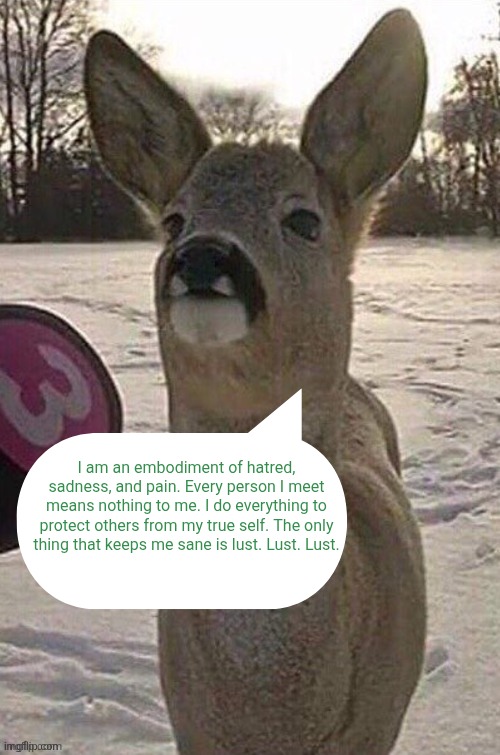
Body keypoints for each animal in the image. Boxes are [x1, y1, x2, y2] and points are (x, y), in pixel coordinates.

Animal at [84, 8, 427, 754]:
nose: (202, 255)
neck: (271, 717)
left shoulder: (380, 723)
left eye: (303, 219)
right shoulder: (189, 724)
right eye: (174, 219)